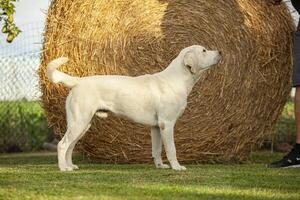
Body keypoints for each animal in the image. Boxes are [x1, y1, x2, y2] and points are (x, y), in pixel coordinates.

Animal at [46, 44, 220, 171]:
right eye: (204, 50)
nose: (220, 52)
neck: (177, 79)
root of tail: (79, 81)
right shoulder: (167, 123)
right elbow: (171, 149)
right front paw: (176, 167)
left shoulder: (156, 127)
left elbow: (157, 150)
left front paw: (160, 166)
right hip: (79, 122)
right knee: (62, 145)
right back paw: (63, 168)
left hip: (82, 124)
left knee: (70, 146)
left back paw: (70, 166)